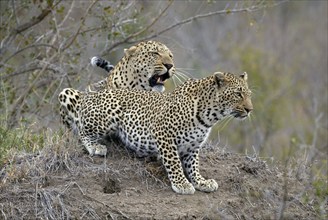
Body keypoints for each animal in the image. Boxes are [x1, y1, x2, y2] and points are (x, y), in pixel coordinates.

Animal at [58, 71, 254, 193]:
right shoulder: (164, 134)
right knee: (80, 129)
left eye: (249, 94)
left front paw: (201, 182)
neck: (209, 115)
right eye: (238, 94)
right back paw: (95, 147)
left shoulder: (193, 146)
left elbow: (193, 165)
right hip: (105, 113)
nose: (250, 109)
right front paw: (181, 184)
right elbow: (174, 162)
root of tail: (88, 95)